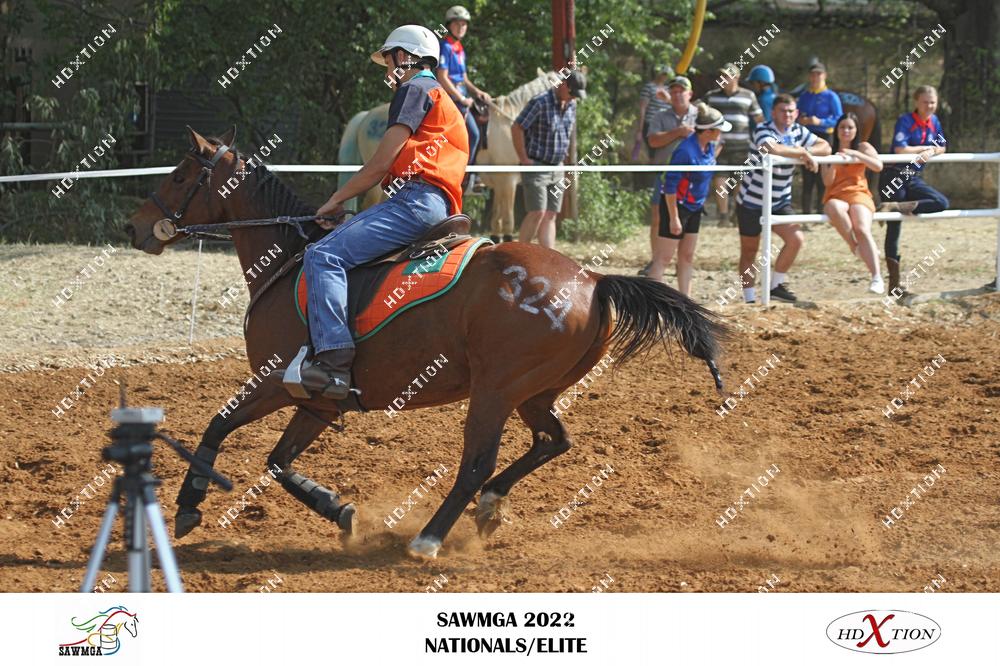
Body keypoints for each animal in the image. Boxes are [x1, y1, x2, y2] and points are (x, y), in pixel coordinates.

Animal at [125, 126, 728, 559]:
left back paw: (430, 538)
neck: (290, 258)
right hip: (533, 393)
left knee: (477, 464)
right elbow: (277, 461)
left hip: (495, 392)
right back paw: (488, 509)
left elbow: (218, 425)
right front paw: (338, 510)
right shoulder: (317, 400)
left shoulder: (276, 380)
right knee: (553, 441)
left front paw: (188, 506)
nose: (135, 226)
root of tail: (592, 279)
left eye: (178, 176)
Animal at [338, 70, 564, 238]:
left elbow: (497, 219)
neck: (509, 123)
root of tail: (367, 115)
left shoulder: (501, 183)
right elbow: (507, 219)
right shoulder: (507, 180)